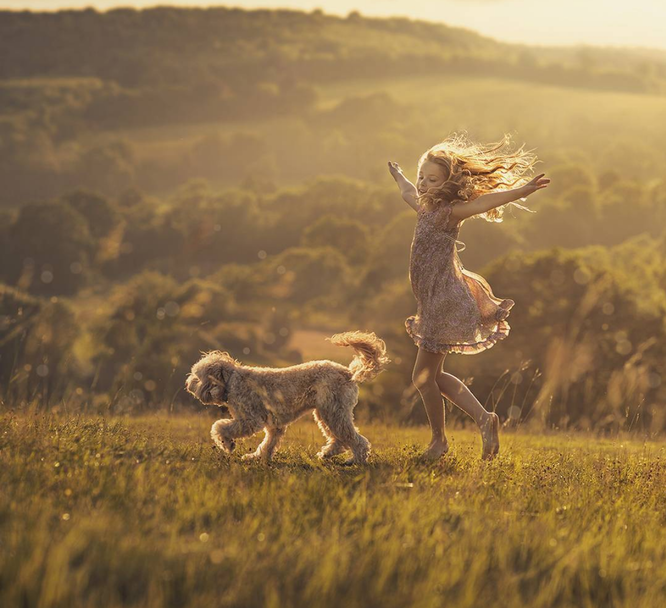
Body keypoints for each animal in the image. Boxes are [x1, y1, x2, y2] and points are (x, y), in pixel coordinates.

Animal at [184, 330, 386, 464]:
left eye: (197, 376)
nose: (188, 384)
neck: (232, 380)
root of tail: (348, 373)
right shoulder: (275, 426)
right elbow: (268, 444)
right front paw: (257, 457)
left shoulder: (250, 420)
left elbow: (219, 427)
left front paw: (227, 444)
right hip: (326, 413)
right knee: (339, 440)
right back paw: (327, 454)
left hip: (334, 413)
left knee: (356, 440)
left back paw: (355, 461)